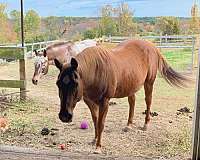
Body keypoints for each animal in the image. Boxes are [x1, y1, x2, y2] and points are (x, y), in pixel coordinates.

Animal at [54, 39, 188, 153]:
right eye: (58, 83)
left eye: (75, 83)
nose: (64, 116)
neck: (95, 71)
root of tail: (152, 46)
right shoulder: (90, 102)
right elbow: (95, 121)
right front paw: (95, 140)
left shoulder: (104, 101)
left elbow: (101, 123)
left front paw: (98, 147)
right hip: (131, 85)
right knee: (132, 101)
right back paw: (128, 125)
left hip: (149, 83)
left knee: (148, 101)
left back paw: (145, 125)